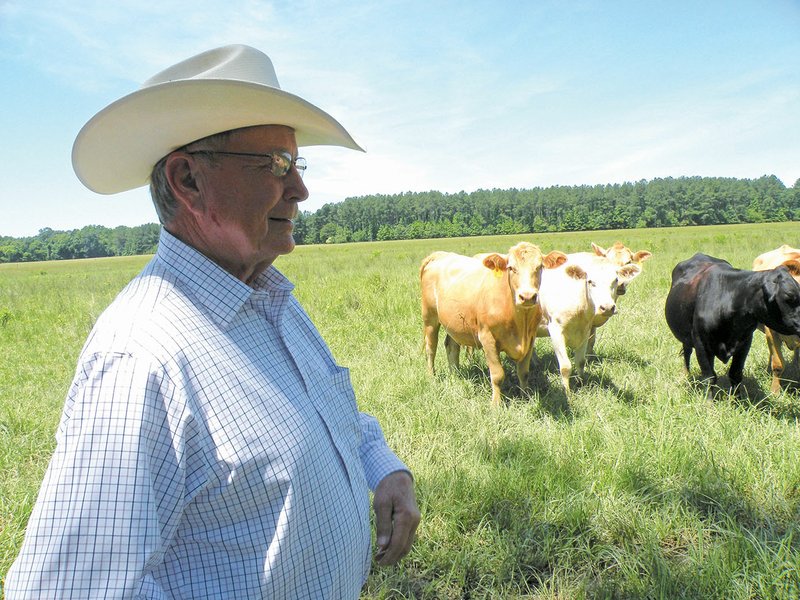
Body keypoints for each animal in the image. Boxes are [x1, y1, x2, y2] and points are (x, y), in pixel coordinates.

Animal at [418, 244, 568, 408]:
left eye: (539, 267)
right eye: (511, 268)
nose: (527, 296)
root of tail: (440, 255)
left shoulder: (530, 338)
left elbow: (523, 372)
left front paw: (525, 397)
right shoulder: (487, 338)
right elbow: (497, 375)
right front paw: (496, 404)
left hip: (454, 324)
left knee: (452, 346)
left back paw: (455, 374)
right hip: (430, 318)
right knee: (431, 348)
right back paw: (431, 376)